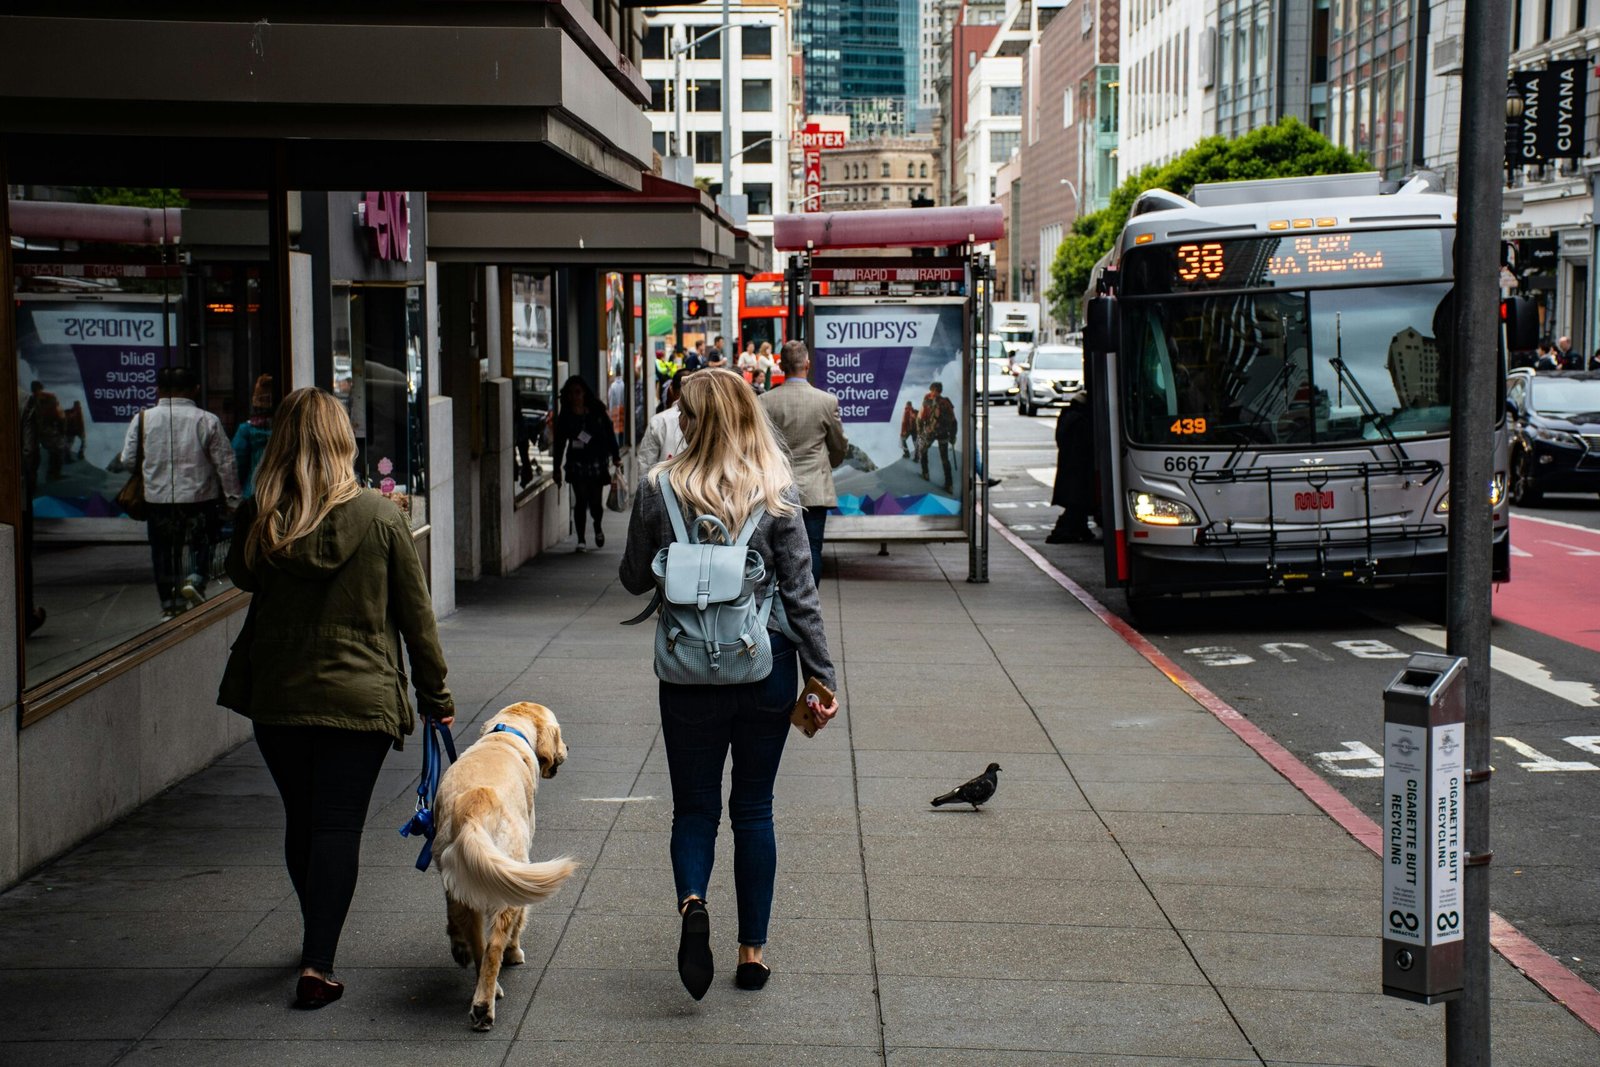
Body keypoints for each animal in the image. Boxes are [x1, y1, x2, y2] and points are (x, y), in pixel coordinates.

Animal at [435, 700, 579, 1023]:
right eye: (560, 733)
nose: (567, 747)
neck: (506, 734)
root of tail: (474, 809)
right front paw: (515, 952)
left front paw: (457, 945)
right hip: (508, 875)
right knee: (494, 946)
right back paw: (484, 1006)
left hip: (463, 879)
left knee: (478, 942)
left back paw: (477, 976)